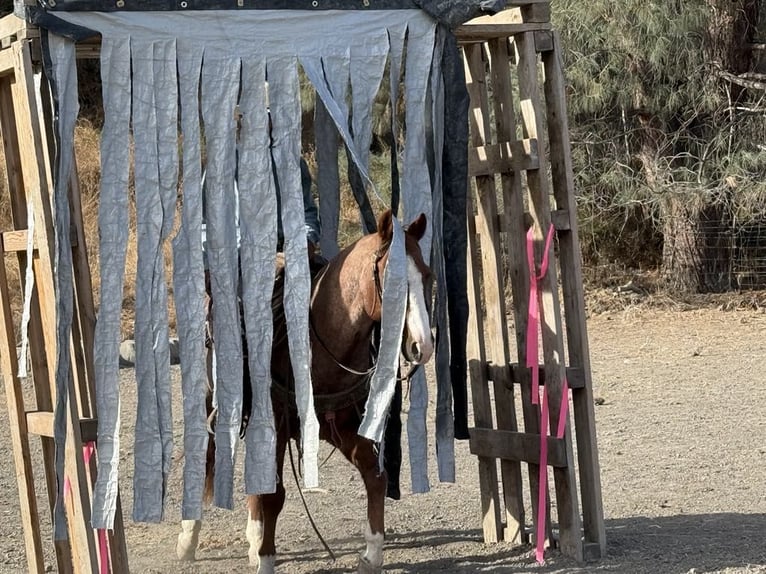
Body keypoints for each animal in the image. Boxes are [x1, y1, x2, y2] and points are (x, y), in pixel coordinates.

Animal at [176, 209, 434, 574]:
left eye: (426, 275)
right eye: (392, 280)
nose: (421, 346)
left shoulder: (344, 426)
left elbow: (375, 476)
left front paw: (372, 553)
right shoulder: (277, 426)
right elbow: (273, 496)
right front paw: (266, 561)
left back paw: (253, 537)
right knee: (206, 453)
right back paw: (189, 537)